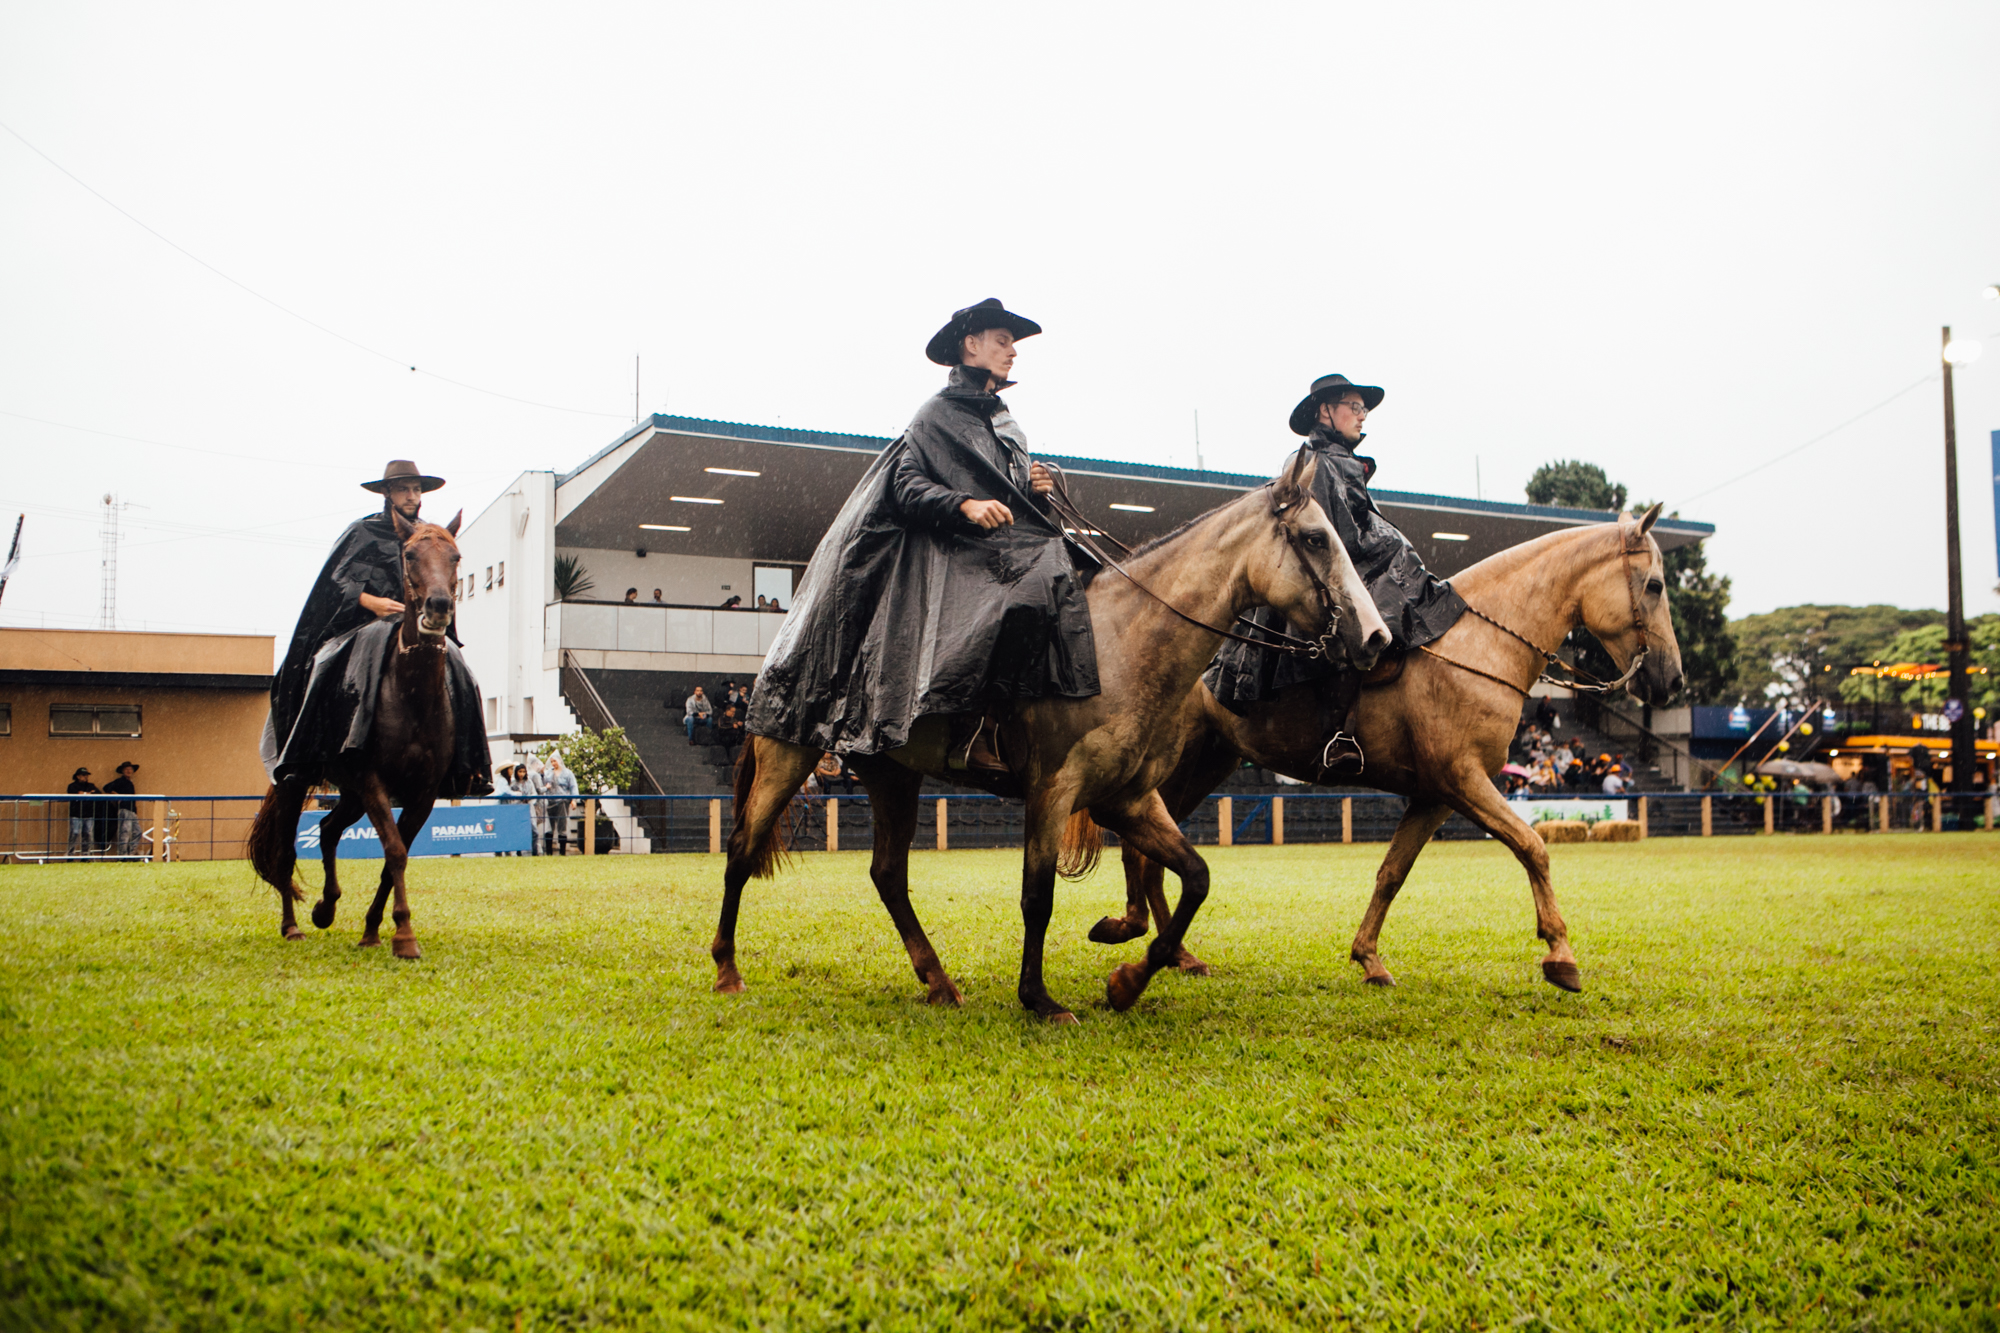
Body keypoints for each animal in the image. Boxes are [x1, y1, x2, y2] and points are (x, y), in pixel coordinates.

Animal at [246, 508, 468, 956]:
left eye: (455, 556)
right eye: (410, 554)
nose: (438, 607)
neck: (411, 694)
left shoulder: (423, 792)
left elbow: (392, 858)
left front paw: (373, 930)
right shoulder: (372, 780)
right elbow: (395, 851)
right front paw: (404, 935)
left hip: (348, 793)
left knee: (328, 829)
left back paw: (326, 908)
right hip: (298, 782)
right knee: (284, 854)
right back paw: (292, 926)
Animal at [716, 452, 1392, 1020]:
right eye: (1315, 538)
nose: (1376, 638)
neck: (1118, 644)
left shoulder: (1128, 799)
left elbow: (1195, 876)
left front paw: (1125, 978)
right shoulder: (1052, 790)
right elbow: (1036, 896)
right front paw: (1039, 998)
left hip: (892, 774)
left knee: (887, 874)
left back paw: (937, 981)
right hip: (788, 754)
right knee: (743, 849)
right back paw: (726, 970)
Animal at [1088, 504, 1680, 992]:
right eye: (1653, 585)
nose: (1671, 681)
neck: (1476, 648)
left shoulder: (1435, 796)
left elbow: (1392, 873)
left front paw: (1368, 958)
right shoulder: (1465, 780)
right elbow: (1533, 846)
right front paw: (1560, 953)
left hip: (1207, 762)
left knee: (1150, 851)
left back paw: (1172, 950)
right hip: (1174, 765)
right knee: (1139, 846)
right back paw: (1143, 935)